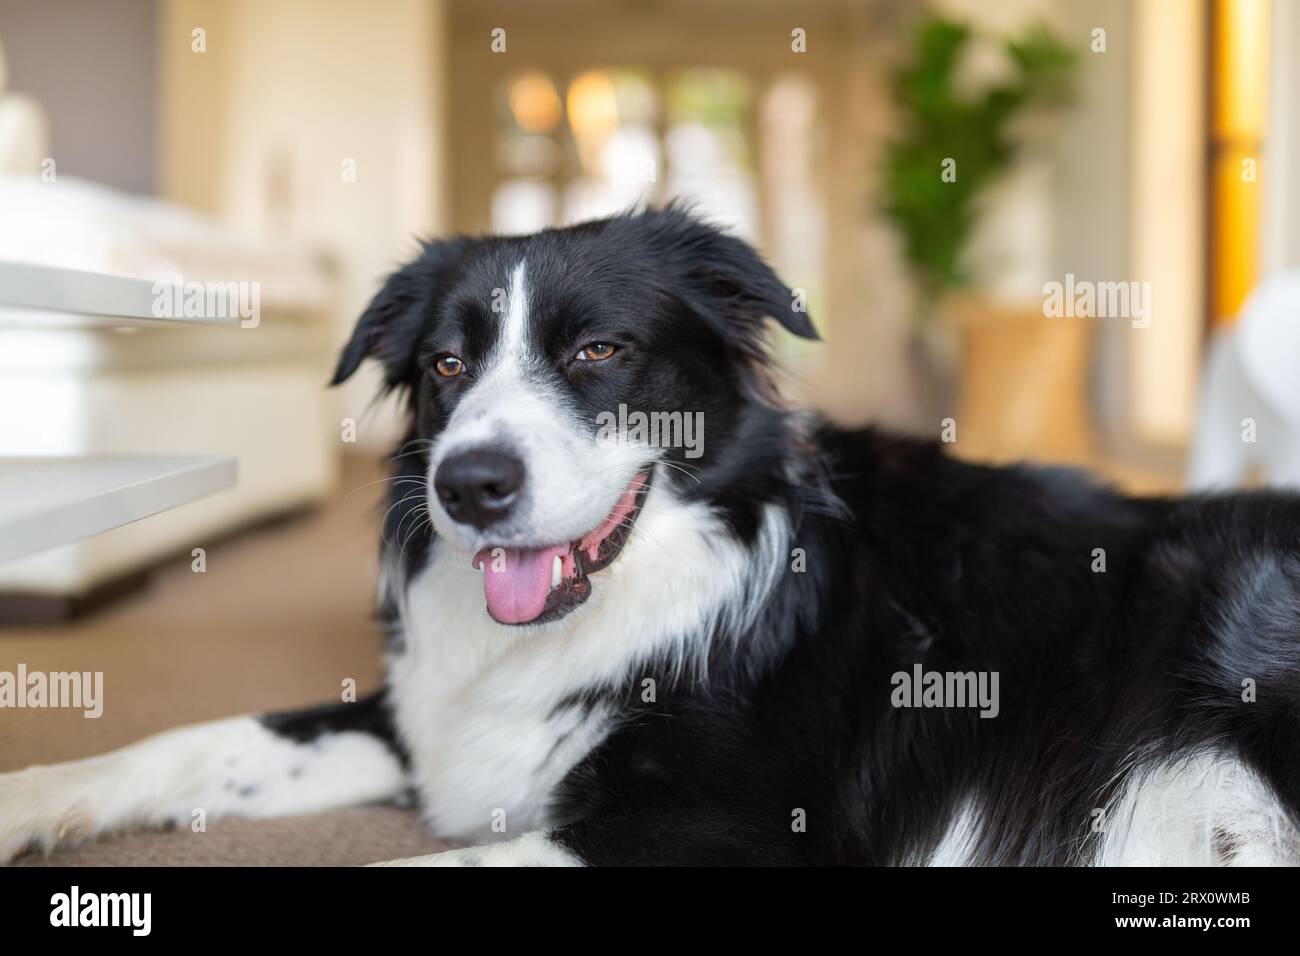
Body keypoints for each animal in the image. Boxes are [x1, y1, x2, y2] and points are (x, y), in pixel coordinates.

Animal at [7, 209, 1300, 868]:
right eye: (446, 364)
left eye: (598, 351)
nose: (469, 485)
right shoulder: (433, 723)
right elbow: (199, 737)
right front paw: (36, 791)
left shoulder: (730, 833)